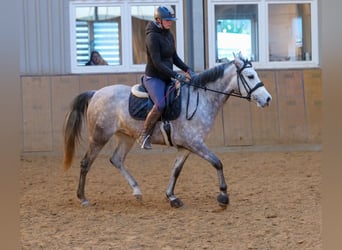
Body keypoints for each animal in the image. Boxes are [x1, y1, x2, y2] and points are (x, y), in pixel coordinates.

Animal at [62, 53, 270, 209]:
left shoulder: (186, 147)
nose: (267, 99)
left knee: (116, 160)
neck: (201, 98)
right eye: (250, 76)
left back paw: (137, 191)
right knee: (86, 163)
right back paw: (83, 198)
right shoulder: (196, 143)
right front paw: (223, 196)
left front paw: (171, 197)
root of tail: (96, 93)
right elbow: (217, 163)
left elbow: (176, 170)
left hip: (126, 137)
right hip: (99, 136)